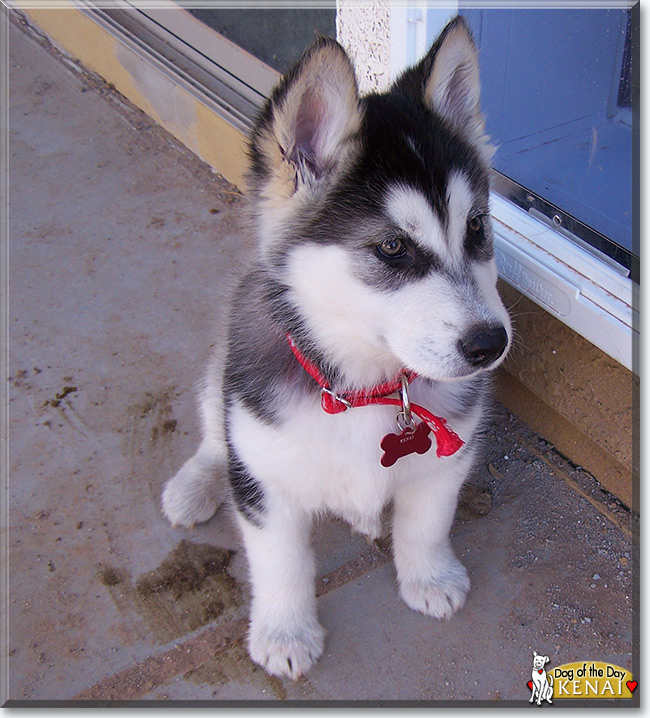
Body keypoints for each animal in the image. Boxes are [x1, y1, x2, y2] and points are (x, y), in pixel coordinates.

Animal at [159, 16, 508, 680]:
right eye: (393, 249)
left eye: (477, 228)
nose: (491, 344)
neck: (366, 387)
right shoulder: (265, 482)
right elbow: (281, 563)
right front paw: (285, 631)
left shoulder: (448, 455)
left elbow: (427, 522)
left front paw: (429, 576)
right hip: (224, 378)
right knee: (216, 436)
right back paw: (196, 485)